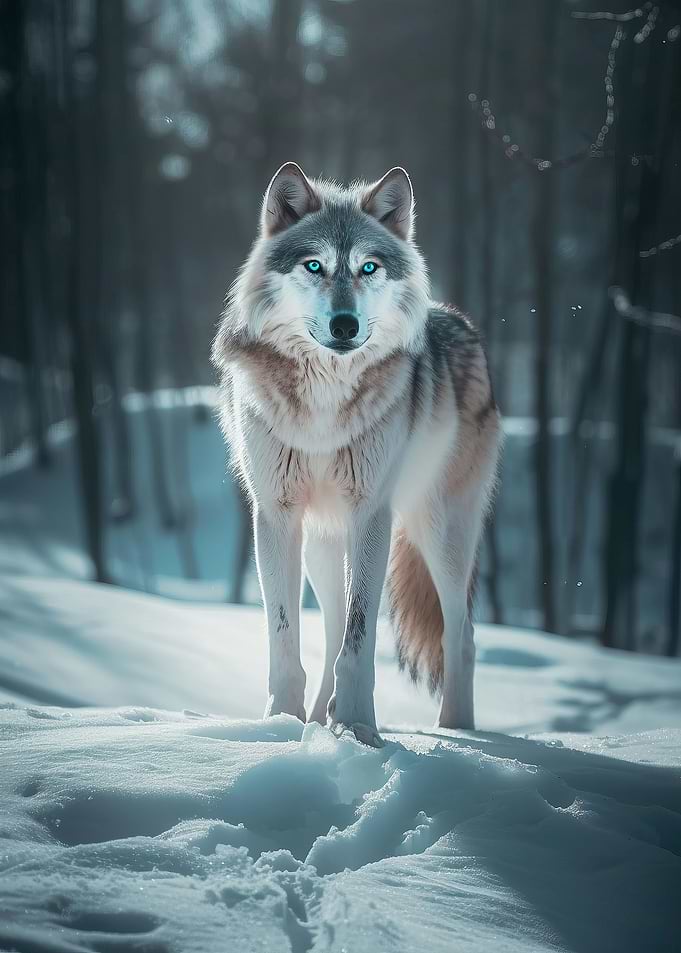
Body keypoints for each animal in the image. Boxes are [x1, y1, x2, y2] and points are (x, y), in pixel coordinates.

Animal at [212, 162, 501, 747]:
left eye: (368, 267)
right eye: (314, 265)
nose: (344, 325)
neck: (324, 396)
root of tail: (461, 322)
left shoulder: (372, 514)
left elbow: (361, 635)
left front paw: (358, 727)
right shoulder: (275, 515)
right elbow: (286, 637)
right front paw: (283, 725)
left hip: (439, 533)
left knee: (461, 634)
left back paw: (457, 732)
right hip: (324, 544)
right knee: (329, 629)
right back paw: (318, 719)